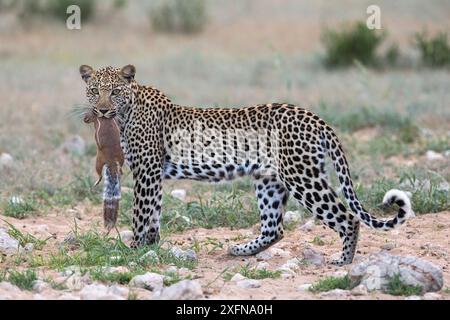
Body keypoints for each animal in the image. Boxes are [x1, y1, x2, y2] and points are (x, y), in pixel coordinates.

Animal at [79, 64, 414, 264]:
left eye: (115, 91)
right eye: (94, 90)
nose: (102, 110)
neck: (126, 113)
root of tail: (315, 118)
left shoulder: (147, 171)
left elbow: (141, 213)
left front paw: (133, 250)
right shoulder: (154, 174)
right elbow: (154, 213)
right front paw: (150, 246)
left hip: (302, 177)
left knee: (347, 217)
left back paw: (343, 262)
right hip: (269, 180)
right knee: (274, 227)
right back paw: (239, 250)